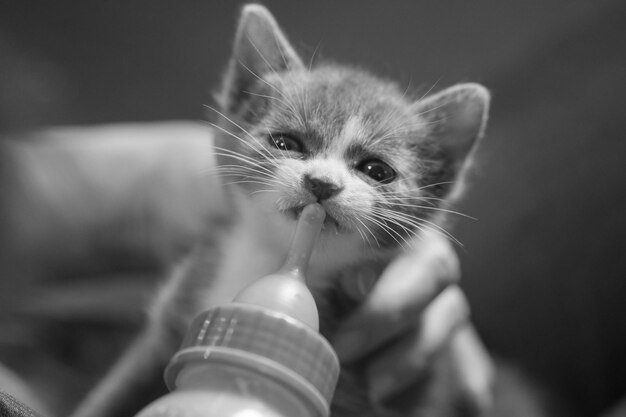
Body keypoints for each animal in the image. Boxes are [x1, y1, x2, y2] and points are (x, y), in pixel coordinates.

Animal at [72, 4, 488, 416]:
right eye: (286, 143)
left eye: (376, 170)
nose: (322, 183)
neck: (273, 261)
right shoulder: (174, 313)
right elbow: (118, 390)